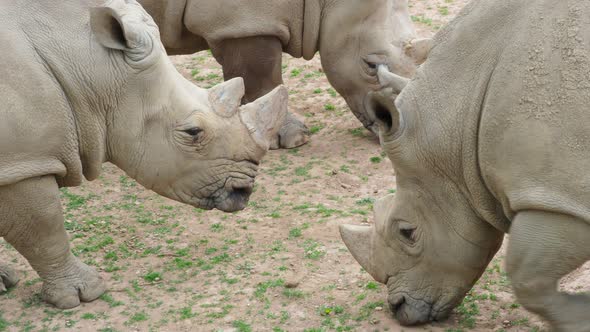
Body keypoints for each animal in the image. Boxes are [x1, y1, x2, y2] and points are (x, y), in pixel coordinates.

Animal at [0, 0, 286, 308]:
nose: (243, 192)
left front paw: (5, 281)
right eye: (193, 132)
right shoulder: (23, 162)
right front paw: (84, 294)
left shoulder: (16, 161)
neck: (93, 66)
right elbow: (45, 227)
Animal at [138, 0, 434, 148]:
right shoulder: (244, 25)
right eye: (371, 66)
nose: (400, 128)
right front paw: (293, 140)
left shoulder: (239, 24)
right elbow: (263, 78)